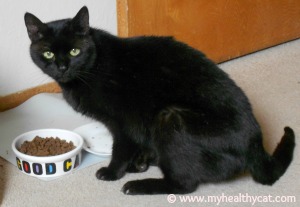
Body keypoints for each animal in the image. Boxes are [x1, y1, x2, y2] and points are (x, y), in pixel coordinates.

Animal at [24, 6, 296, 194]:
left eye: (74, 51)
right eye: (48, 53)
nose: (62, 67)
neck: (91, 69)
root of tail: (256, 146)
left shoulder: (123, 122)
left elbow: (120, 149)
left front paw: (113, 172)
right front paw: (135, 162)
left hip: (170, 118)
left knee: (184, 184)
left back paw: (138, 185)